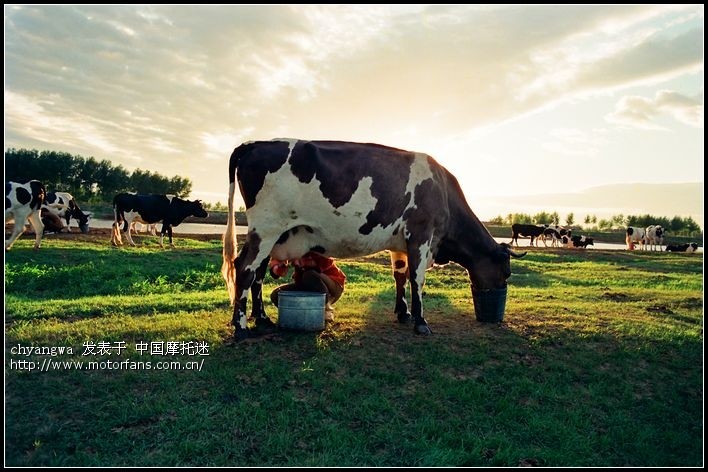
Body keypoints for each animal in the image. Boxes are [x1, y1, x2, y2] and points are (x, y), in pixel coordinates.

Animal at [221, 136, 524, 340]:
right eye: (506, 272)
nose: (494, 314)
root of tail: (254, 143)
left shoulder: (400, 244)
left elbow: (400, 276)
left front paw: (403, 313)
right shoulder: (422, 234)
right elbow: (417, 279)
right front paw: (421, 322)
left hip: (273, 235)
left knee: (258, 274)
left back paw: (262, 319)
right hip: (267, 227)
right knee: (245, 268)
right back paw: (241, 327)